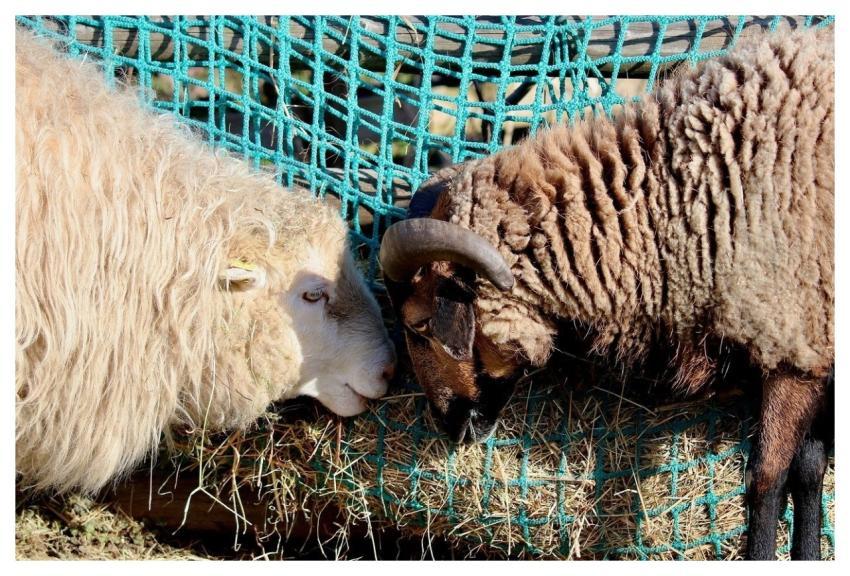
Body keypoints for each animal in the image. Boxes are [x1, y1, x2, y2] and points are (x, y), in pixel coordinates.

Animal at [380, 26, 833, 560]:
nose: (448, 425)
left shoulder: (791, 339)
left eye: (419, 324)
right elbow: (809, 472)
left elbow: (767, 480)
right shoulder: (814, 350)